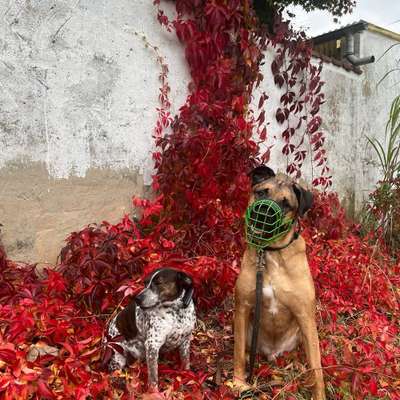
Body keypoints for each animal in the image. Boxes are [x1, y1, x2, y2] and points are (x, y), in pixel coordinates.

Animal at [234, 164, 324, 398]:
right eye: (261, 192)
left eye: (286, 204)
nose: (263, 212)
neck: (271, 254)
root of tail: (273, 352)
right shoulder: (243, 308)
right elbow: (237, 353)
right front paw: (237, 383)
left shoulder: (305, 316)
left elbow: (317, 368)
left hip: (302, 333)